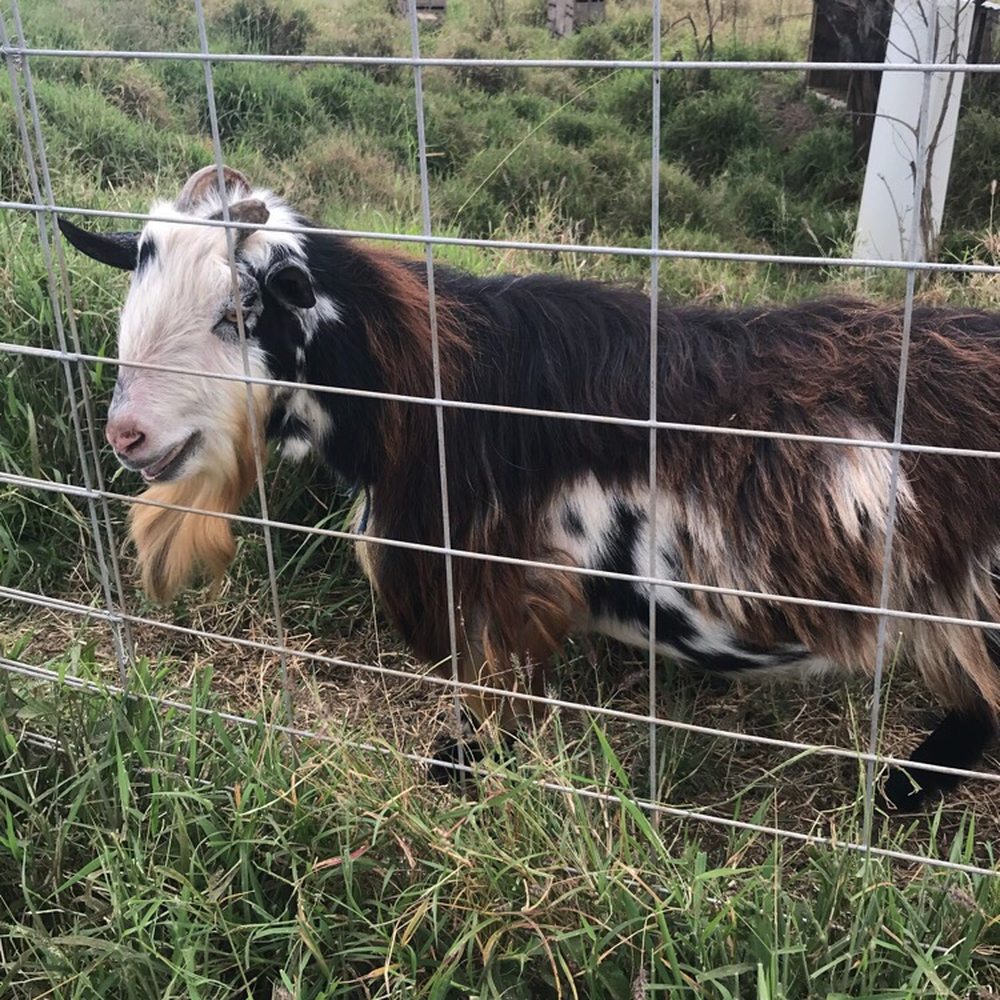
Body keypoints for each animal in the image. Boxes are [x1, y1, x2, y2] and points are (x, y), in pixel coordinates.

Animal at [59, 165, 1000, 810]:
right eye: (135, 293)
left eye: (238, 314)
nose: (127, 435)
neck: (443, 387)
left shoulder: (505, 584)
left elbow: (496, 693)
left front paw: (460, 767)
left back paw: (901, 792)